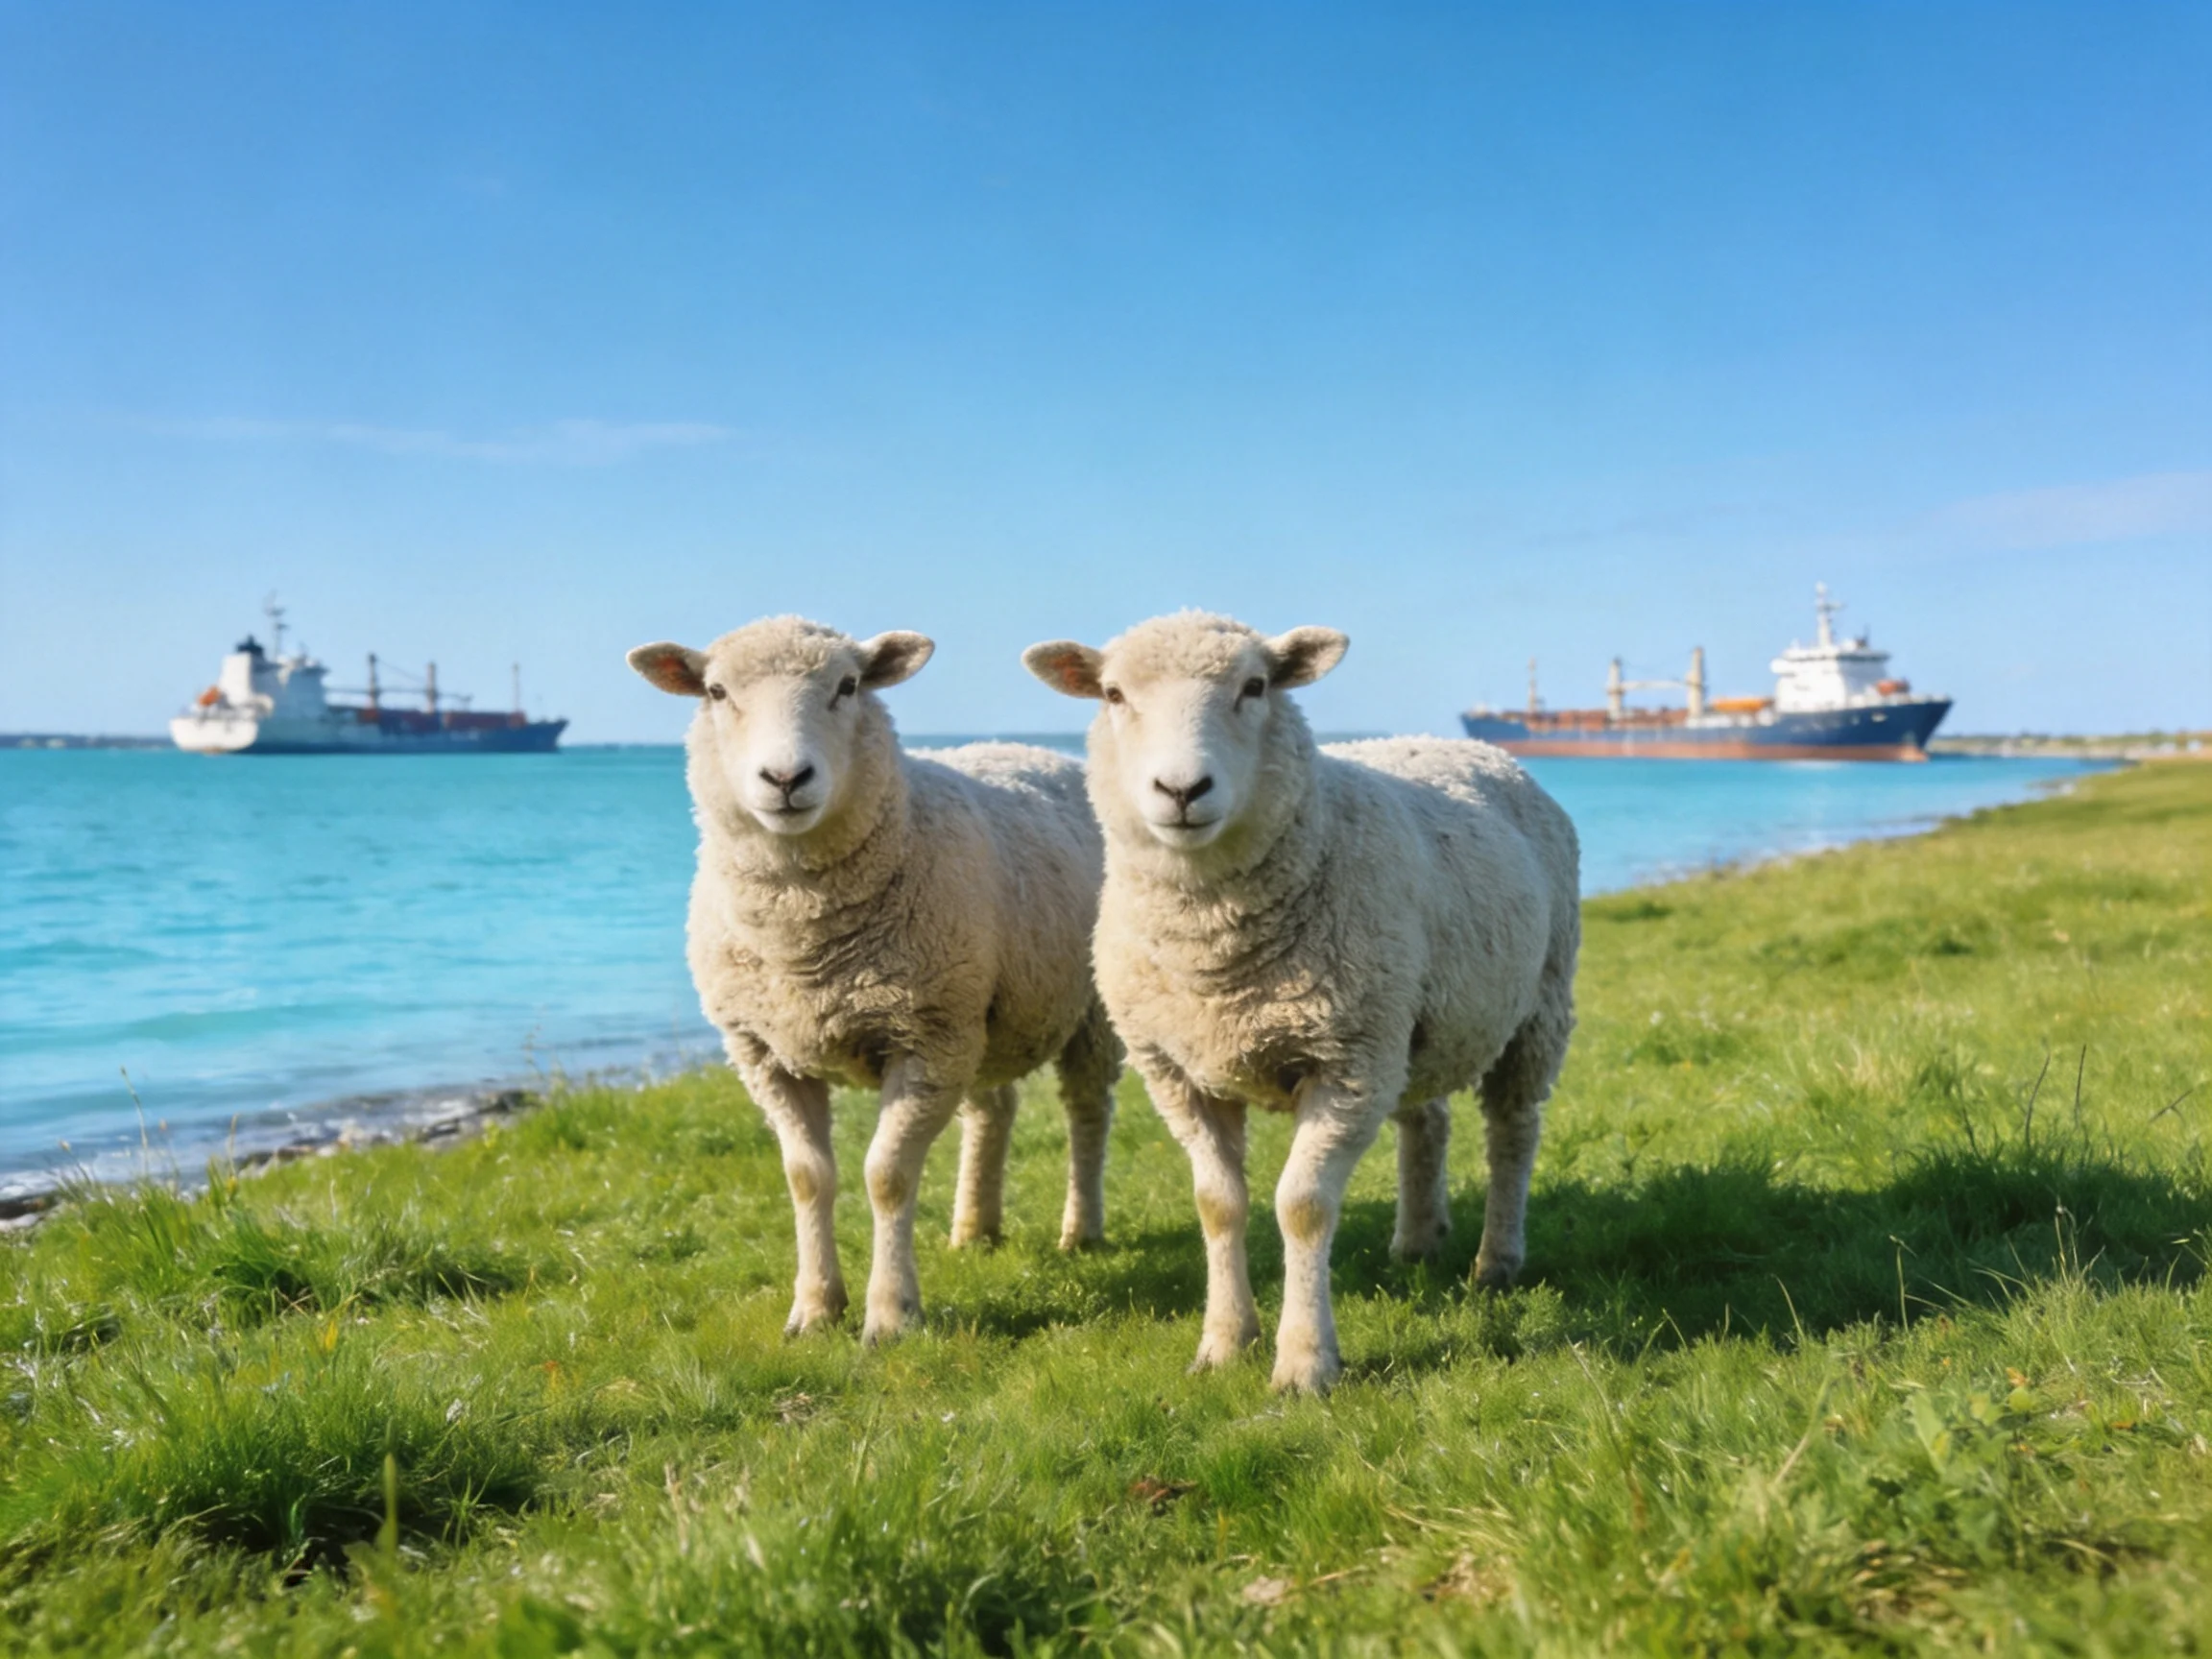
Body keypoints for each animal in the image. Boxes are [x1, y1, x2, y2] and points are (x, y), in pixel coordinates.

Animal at [629, 616, 1120, 1344]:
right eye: (716, 691)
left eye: (848, 685)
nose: (785, 777)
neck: (802, 940)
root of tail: (1035, 751)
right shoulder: (765, 1052)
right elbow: (806, 1177)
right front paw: (813, 1310)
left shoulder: (924, 1038)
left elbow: (886, 1175)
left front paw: (890, 1316)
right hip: (977, 1011)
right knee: (993, 1110)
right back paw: (974, 1229)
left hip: (1079, 1012)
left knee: (1086, 1111)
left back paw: (1080, 1231)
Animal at [1024, 611, 1579, 1393]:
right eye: (1113, 694)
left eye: (1255, 686)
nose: (1182, 789)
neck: (1217, 959)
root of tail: (1473, 748)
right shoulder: (1179, 1073)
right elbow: (1218, 1206)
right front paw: (1224, 1343)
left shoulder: (1345, 1063)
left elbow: (1304, 1206)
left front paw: (1305, 1363)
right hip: (1409, 1019)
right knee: (1426, 1120)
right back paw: (1417, 1240)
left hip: (1536, 1008)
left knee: (1513, 1132)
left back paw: (1496, 1261)